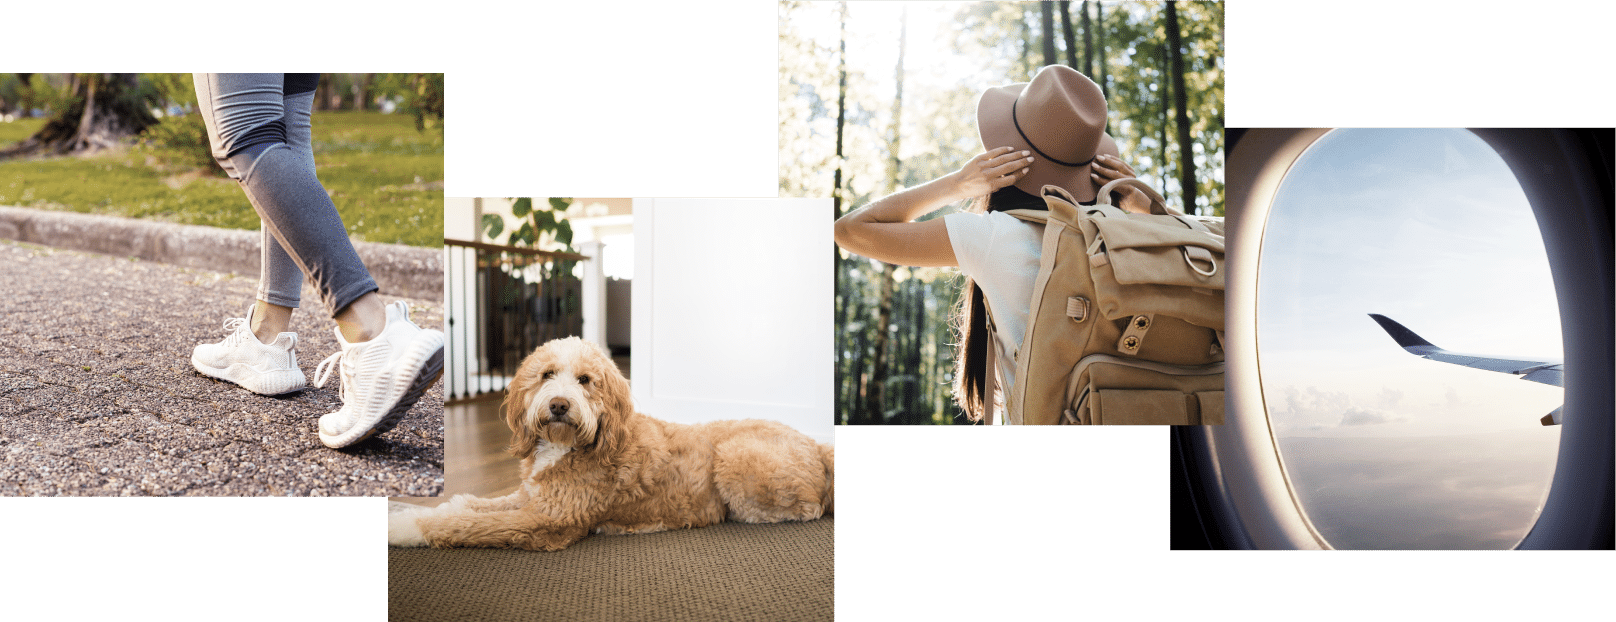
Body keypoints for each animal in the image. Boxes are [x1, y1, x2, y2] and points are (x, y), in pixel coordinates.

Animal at [382, 334, 827, 549]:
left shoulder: (547, 520)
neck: (567, 445)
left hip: (734, 456)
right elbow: (472, 504)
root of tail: (817, 445)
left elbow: (462, 525)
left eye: (585, 380)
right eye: (546, 375)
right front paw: (422, 507)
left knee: (809, 509)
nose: (559, 405)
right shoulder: (530, 496)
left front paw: (402, 528)